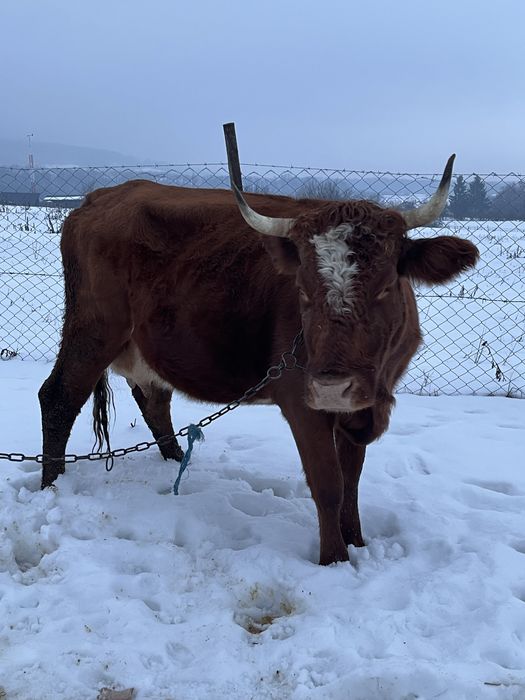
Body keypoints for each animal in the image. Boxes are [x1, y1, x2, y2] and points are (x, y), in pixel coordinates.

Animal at [39, 154, 478, 565]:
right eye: (302, 289)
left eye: (386, 286)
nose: (332, 387)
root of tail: (101, 197)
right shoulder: (302, 399)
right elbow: (329, 485)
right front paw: (335, 560)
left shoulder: (361, 401)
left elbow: (352, 480)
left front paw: (356, 541)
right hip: (93, 330)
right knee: (58, 397)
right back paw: (51, 485)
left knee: (153, 402)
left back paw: (177, 463)